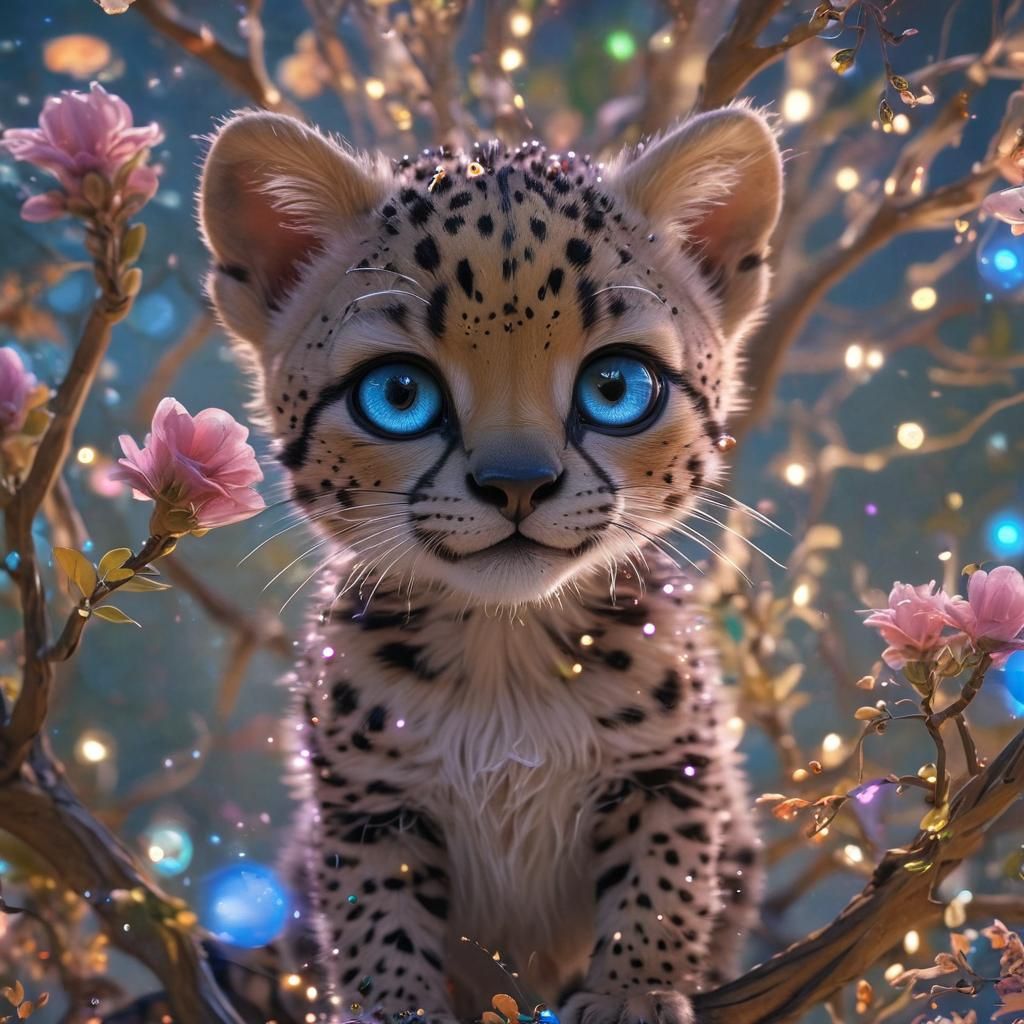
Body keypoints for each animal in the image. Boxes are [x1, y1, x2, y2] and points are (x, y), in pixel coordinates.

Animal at [197, 103, 783, 1024]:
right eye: (399, 396)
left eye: (616, 387)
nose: (517, 483)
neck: (506, 646)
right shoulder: (367, 808)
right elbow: (374, 921)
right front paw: (395, 1010)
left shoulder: (675, 771)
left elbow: (664, 884)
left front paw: (635, 992)